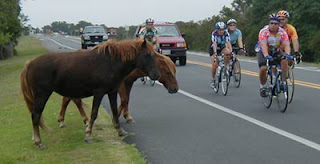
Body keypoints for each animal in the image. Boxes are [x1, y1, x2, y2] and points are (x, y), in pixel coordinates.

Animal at [20, 39, 160, 149]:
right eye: (147, 55)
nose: (156, 75)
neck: (110, 62)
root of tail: (30, 64)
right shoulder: (99, 93)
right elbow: (94, 113)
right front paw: (88, 135)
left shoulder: (112, 92)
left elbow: (115, 111)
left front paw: (120, 131)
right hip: (42, 95)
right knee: (36, 115)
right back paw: (39, 142)